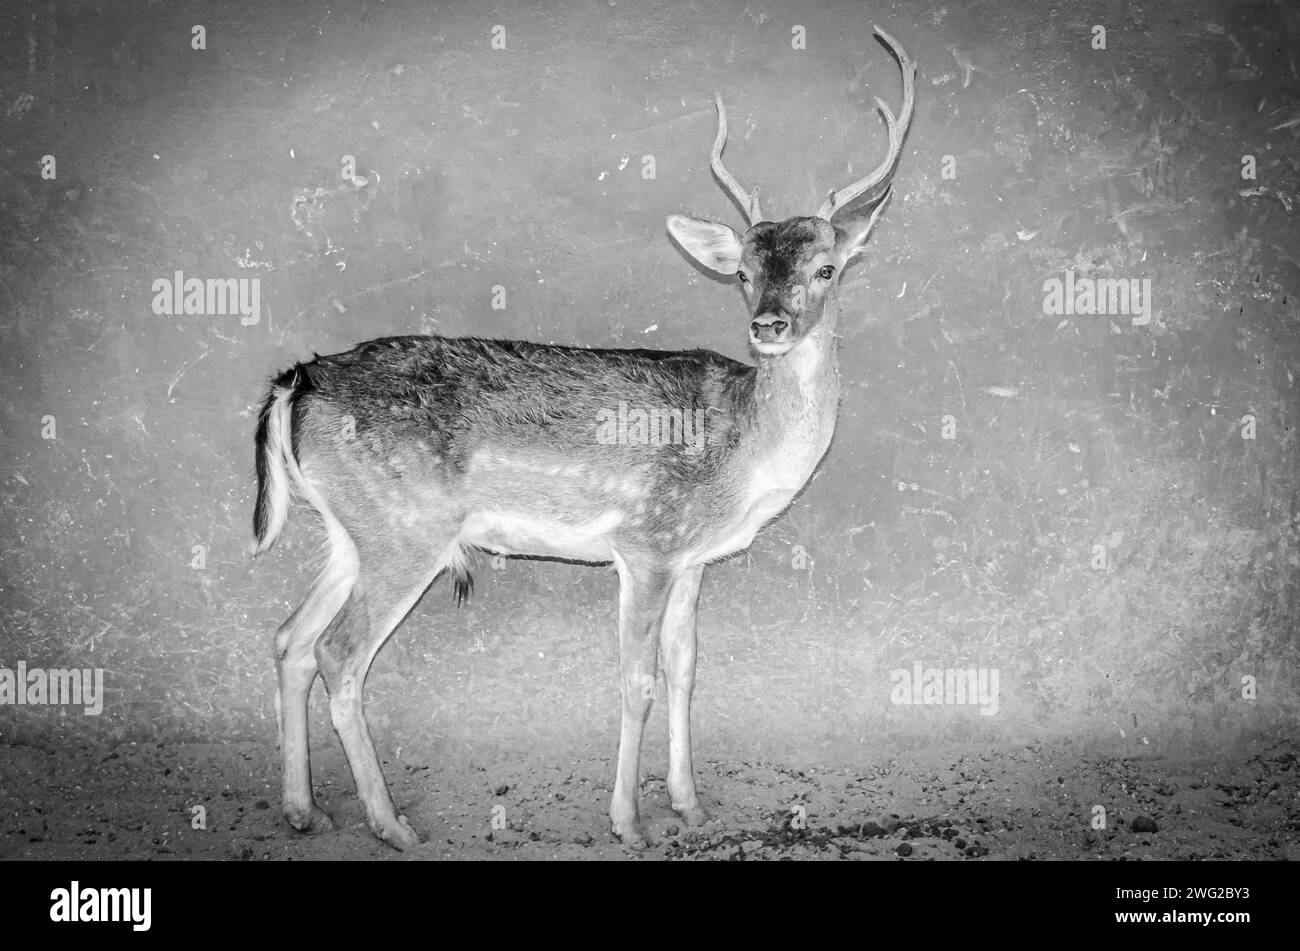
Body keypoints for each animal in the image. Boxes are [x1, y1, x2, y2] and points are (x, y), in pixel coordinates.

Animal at [252, 26, 914, 851]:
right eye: (743, 272)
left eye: (826, 268)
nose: (770, 325)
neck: (744, 457)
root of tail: (295, 384)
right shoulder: (647, 544)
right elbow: (637, 680)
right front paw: (628, 821)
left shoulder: (693, 560)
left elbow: (687, 670)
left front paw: (690, 803)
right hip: (406, 532)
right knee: (340, 654)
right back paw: (392, 823)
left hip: (353, 530)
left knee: (290, 639)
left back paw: (304, 808)